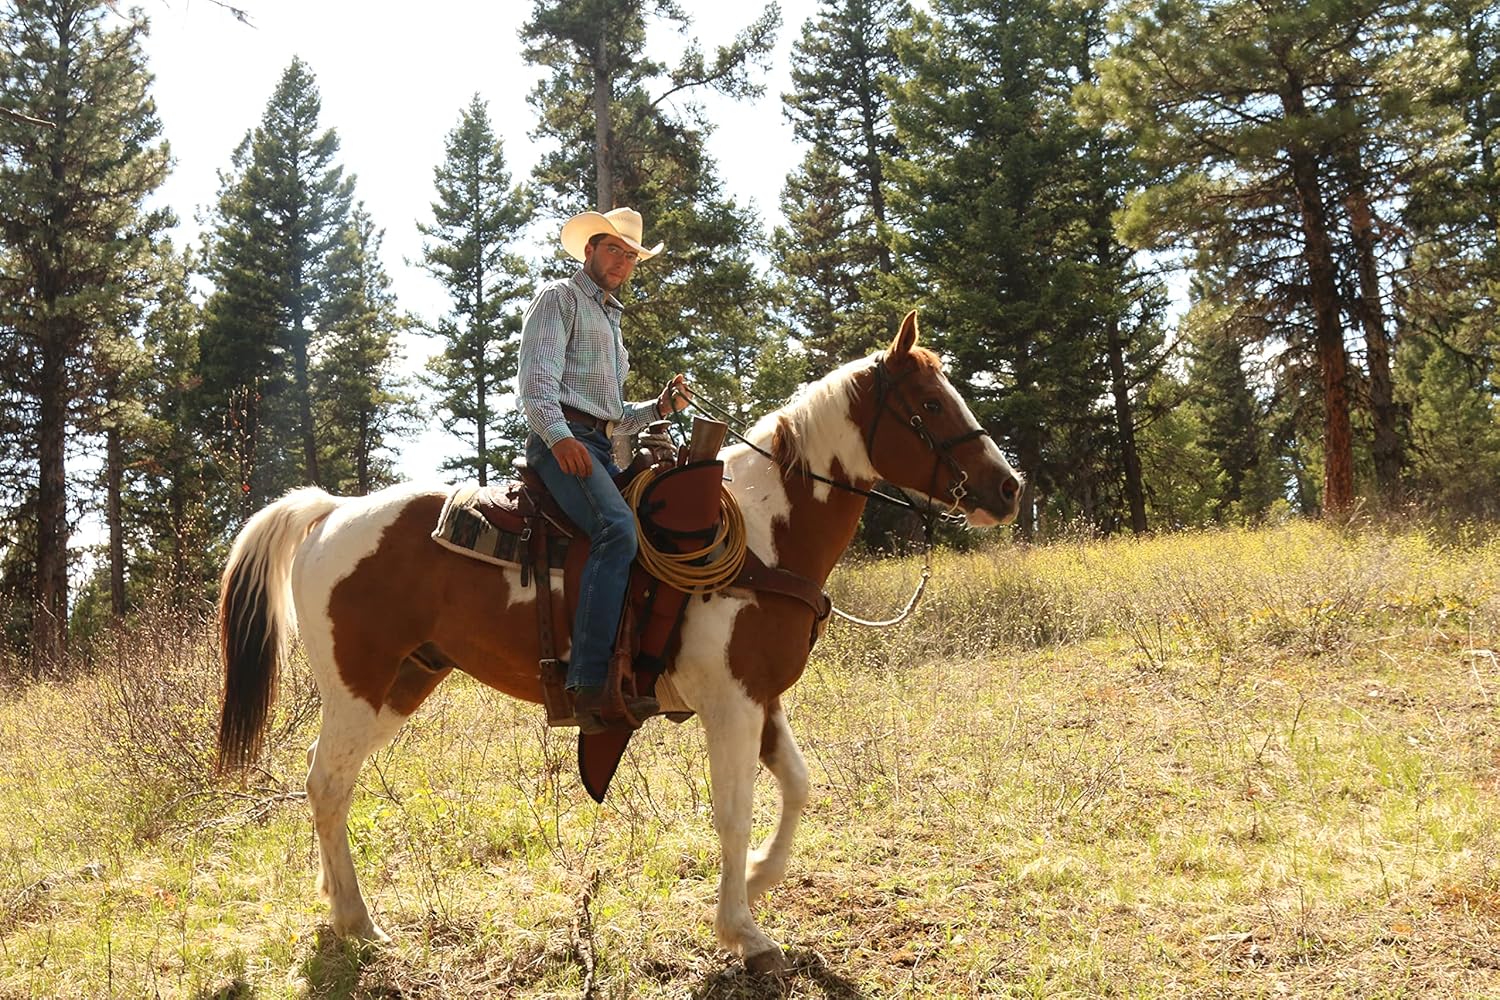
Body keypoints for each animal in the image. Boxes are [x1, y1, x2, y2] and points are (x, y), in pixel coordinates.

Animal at [214, 311, 1022, 974]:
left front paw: (761, 878)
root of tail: (329, 511)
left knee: (332, 785)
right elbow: (734, 810)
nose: (1007, 488)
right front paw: (743, 930)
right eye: (930, 404)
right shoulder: (730, 704)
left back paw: (339, 909)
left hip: (402, 684)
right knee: (326, 784)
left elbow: (795, 785)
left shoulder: (761, 696)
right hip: (358, 686)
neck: (764, 534)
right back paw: (359, 921)